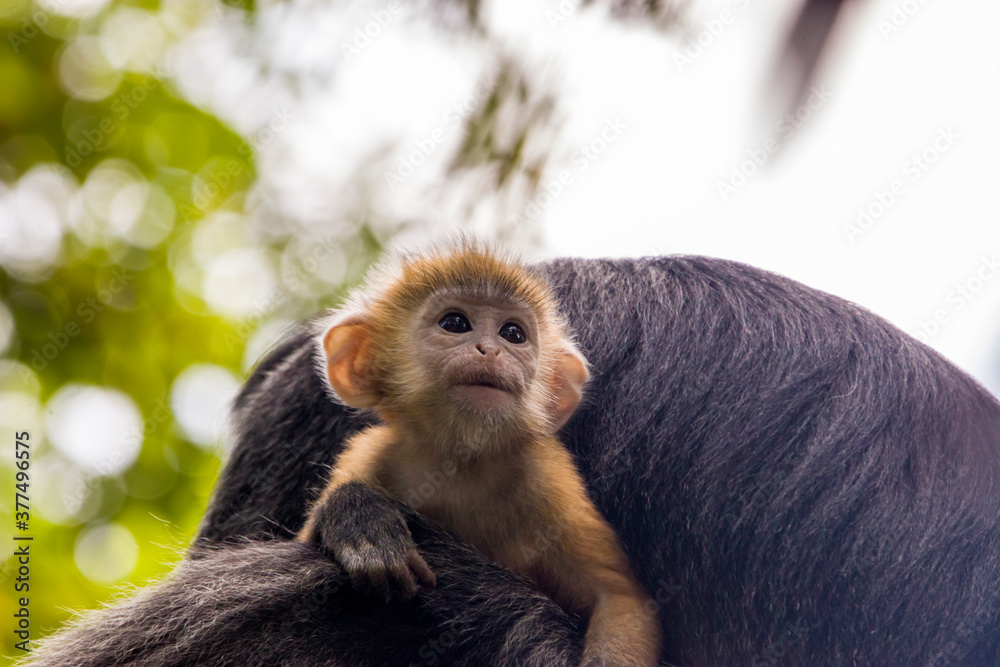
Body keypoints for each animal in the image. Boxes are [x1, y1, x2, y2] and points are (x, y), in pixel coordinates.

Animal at [294, 241, 661, 666]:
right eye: (454, 323)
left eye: (513, 333)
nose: (491, 350)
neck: (461, 466)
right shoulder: (369, 456)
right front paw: (357, 518)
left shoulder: (549, 479)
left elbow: (617, 598)